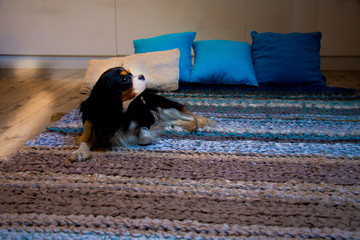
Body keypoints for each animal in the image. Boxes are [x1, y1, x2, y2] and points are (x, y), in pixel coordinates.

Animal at [71, 67, 215, 161]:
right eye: (124, 79)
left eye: (131, 73)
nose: (141, 75)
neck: (120, 111)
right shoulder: (92, 127)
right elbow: (84, 141)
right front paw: (79, 152)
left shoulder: (144, 117)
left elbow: (144, 136)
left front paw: (145, 136)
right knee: (173, 121)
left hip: (164, 108)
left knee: (188, 116)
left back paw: (196, 124)